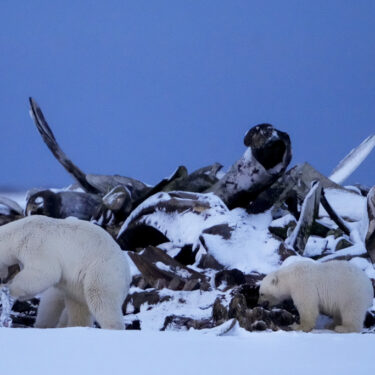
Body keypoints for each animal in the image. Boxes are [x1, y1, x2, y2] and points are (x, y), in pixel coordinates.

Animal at [0, 216, 131, 330]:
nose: (2, 279)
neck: (18, 233)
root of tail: (127, 273)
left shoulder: (36, 244)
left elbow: (46, 272)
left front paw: (9, 289)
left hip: (103, 270)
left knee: (100, 297)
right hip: (79, 284)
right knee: (78, 306)